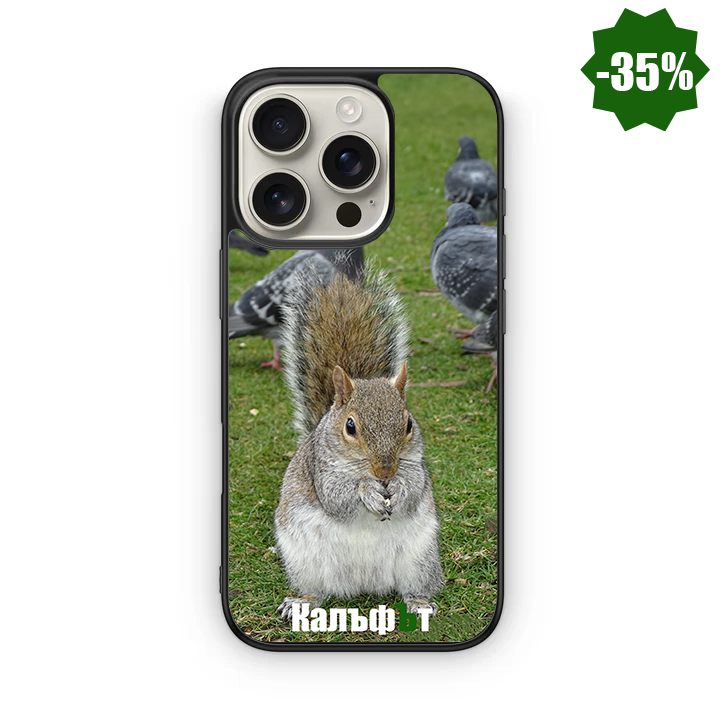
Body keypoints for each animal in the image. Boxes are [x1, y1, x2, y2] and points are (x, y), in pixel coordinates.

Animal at [274, 265, 443, 620]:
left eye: (409, 424)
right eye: (350, 426)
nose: (385, 472)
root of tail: (364, 583)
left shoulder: (417, 466)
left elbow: (416, 489)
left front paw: (400, 488)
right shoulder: (319, 470)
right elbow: (337, 498)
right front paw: (366, 491)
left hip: (419, 560)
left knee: (415, 587)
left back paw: (420, 604)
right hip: (305, 562)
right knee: (315, 590)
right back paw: (302, 601)